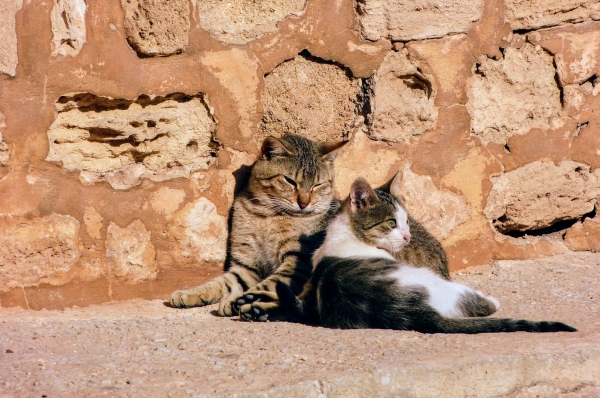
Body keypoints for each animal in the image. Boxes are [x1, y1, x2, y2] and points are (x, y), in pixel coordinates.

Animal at [169, 135, 346, 322]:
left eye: (317, 185)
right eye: (290, 181)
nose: (304, 203)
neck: (267, 215)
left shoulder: (297, 264)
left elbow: (269, 283)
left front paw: (239, 300)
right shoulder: (246, 264)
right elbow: (220, 283)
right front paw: (192, 293)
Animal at [276, 176, 576, 334]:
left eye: (407, 222)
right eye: (391, 223)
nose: (408, 237)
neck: (344, 233)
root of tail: (415, 313)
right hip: (440, 284)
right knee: (482, 303)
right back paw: (488, 299)